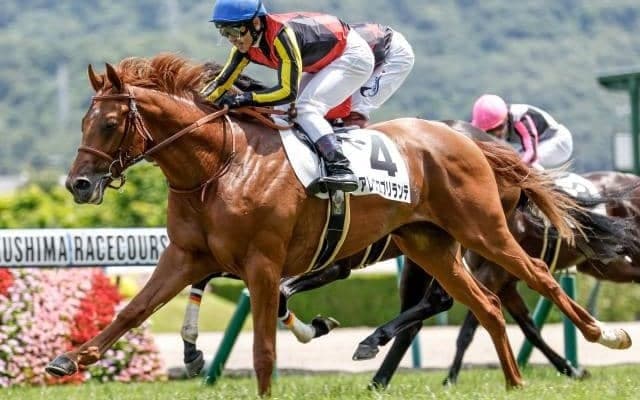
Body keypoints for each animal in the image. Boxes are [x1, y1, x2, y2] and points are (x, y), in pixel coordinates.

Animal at [48, 53, 630, 395]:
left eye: (110, 122)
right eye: (83, 121)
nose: (78, 184)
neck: (221, 164)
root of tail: (468, 140)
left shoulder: (263, 264)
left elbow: (263, 349)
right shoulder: (187, 256)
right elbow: (133, 312)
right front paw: (69, 360)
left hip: (482, 229)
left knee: (539, 277)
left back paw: (604, 336)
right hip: (428, 244)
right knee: (485, 306)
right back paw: (511, 381)